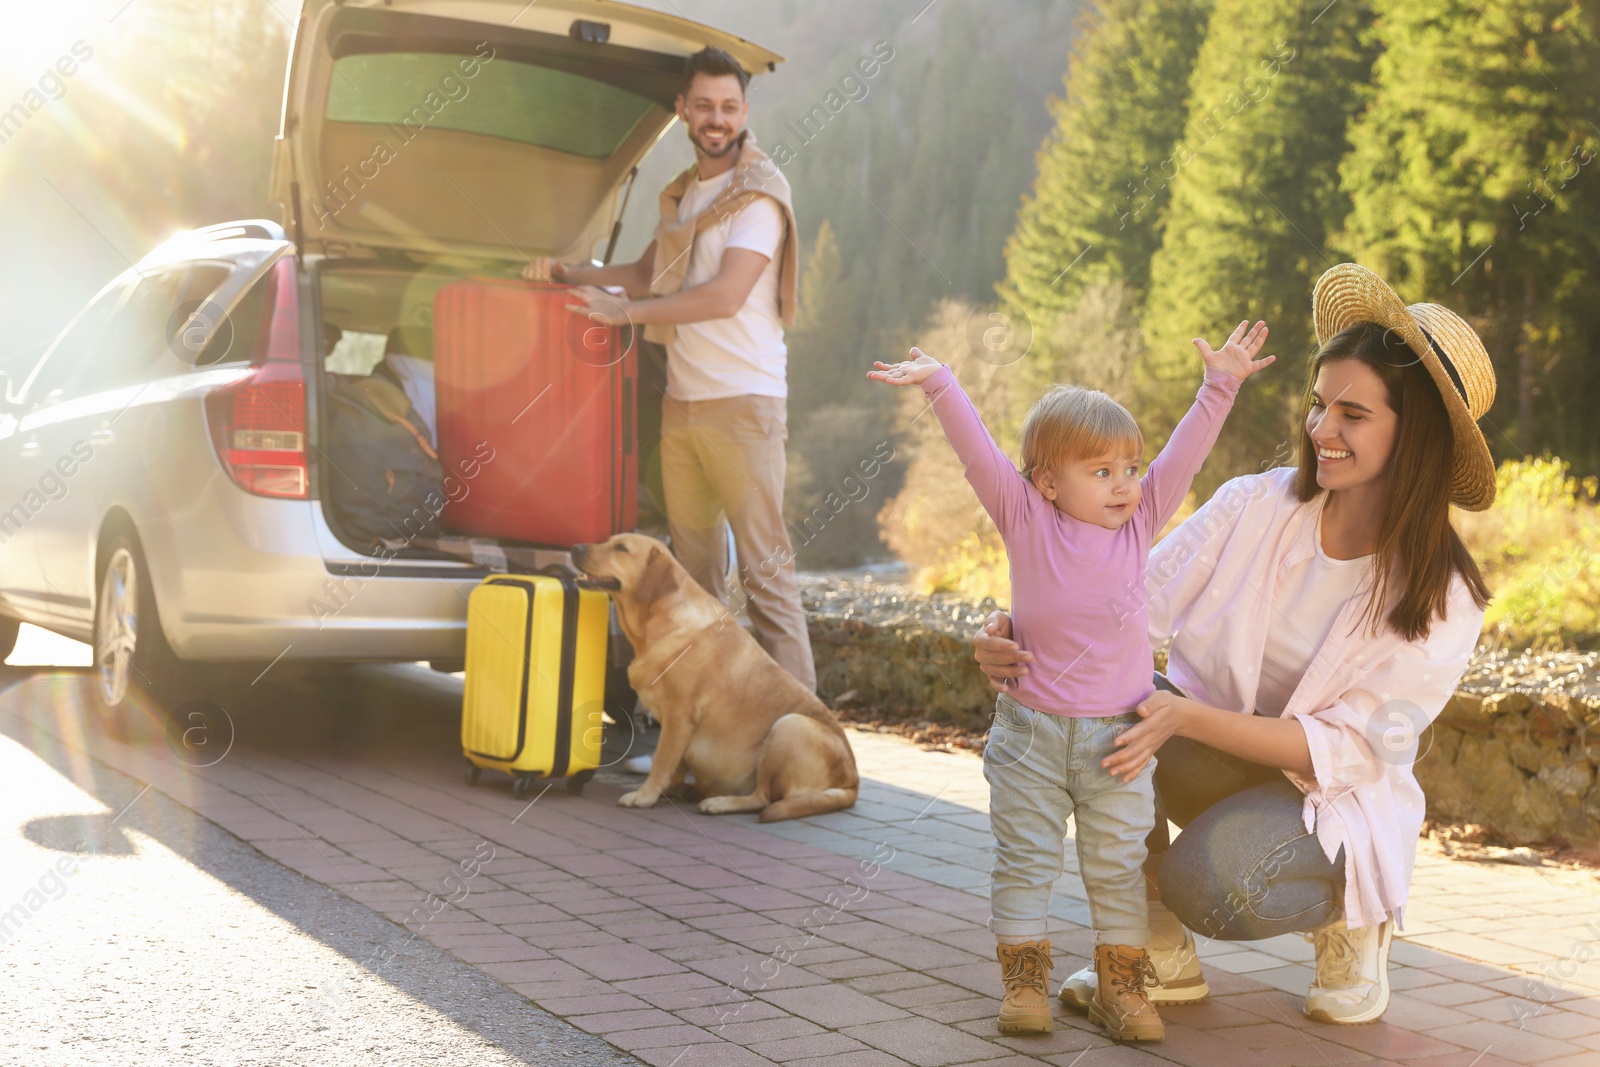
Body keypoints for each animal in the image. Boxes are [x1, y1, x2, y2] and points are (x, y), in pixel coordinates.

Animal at [569, 534, 857, 825]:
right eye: (609, 541)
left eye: (621, 548)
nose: (575, 547)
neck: (657, 621)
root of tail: (852, 782)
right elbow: (674, 766)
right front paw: (665, 791)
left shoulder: (679, 717)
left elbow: (662, 762)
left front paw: (644, 796)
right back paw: (692, 791)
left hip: (789, 726)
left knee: (763, 798)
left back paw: (719, 802)